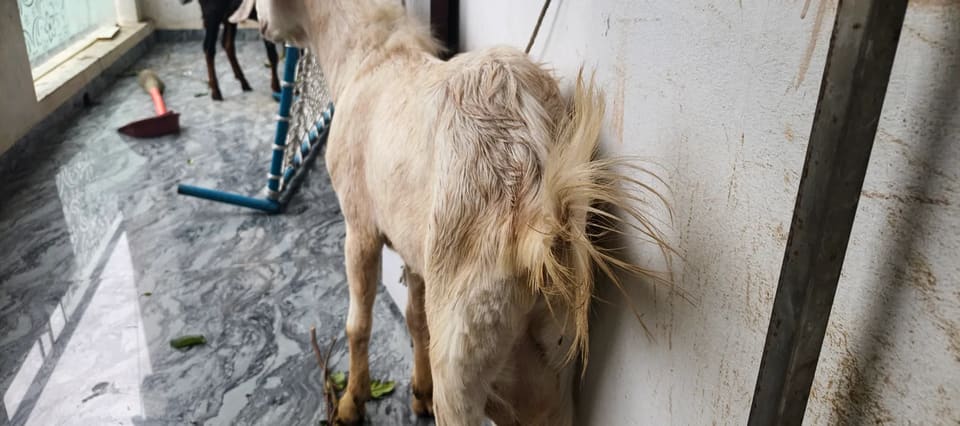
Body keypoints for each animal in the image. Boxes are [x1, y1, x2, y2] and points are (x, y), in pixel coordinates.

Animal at [256, 1, 671, 424]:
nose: (260, 28)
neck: (371, 57)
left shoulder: (360, 228)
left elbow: (359, 324)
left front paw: (351, 403)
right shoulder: (415, 252)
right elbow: (415, 319)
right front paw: (419, 392)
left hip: (462, 358)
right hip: (549, 367)